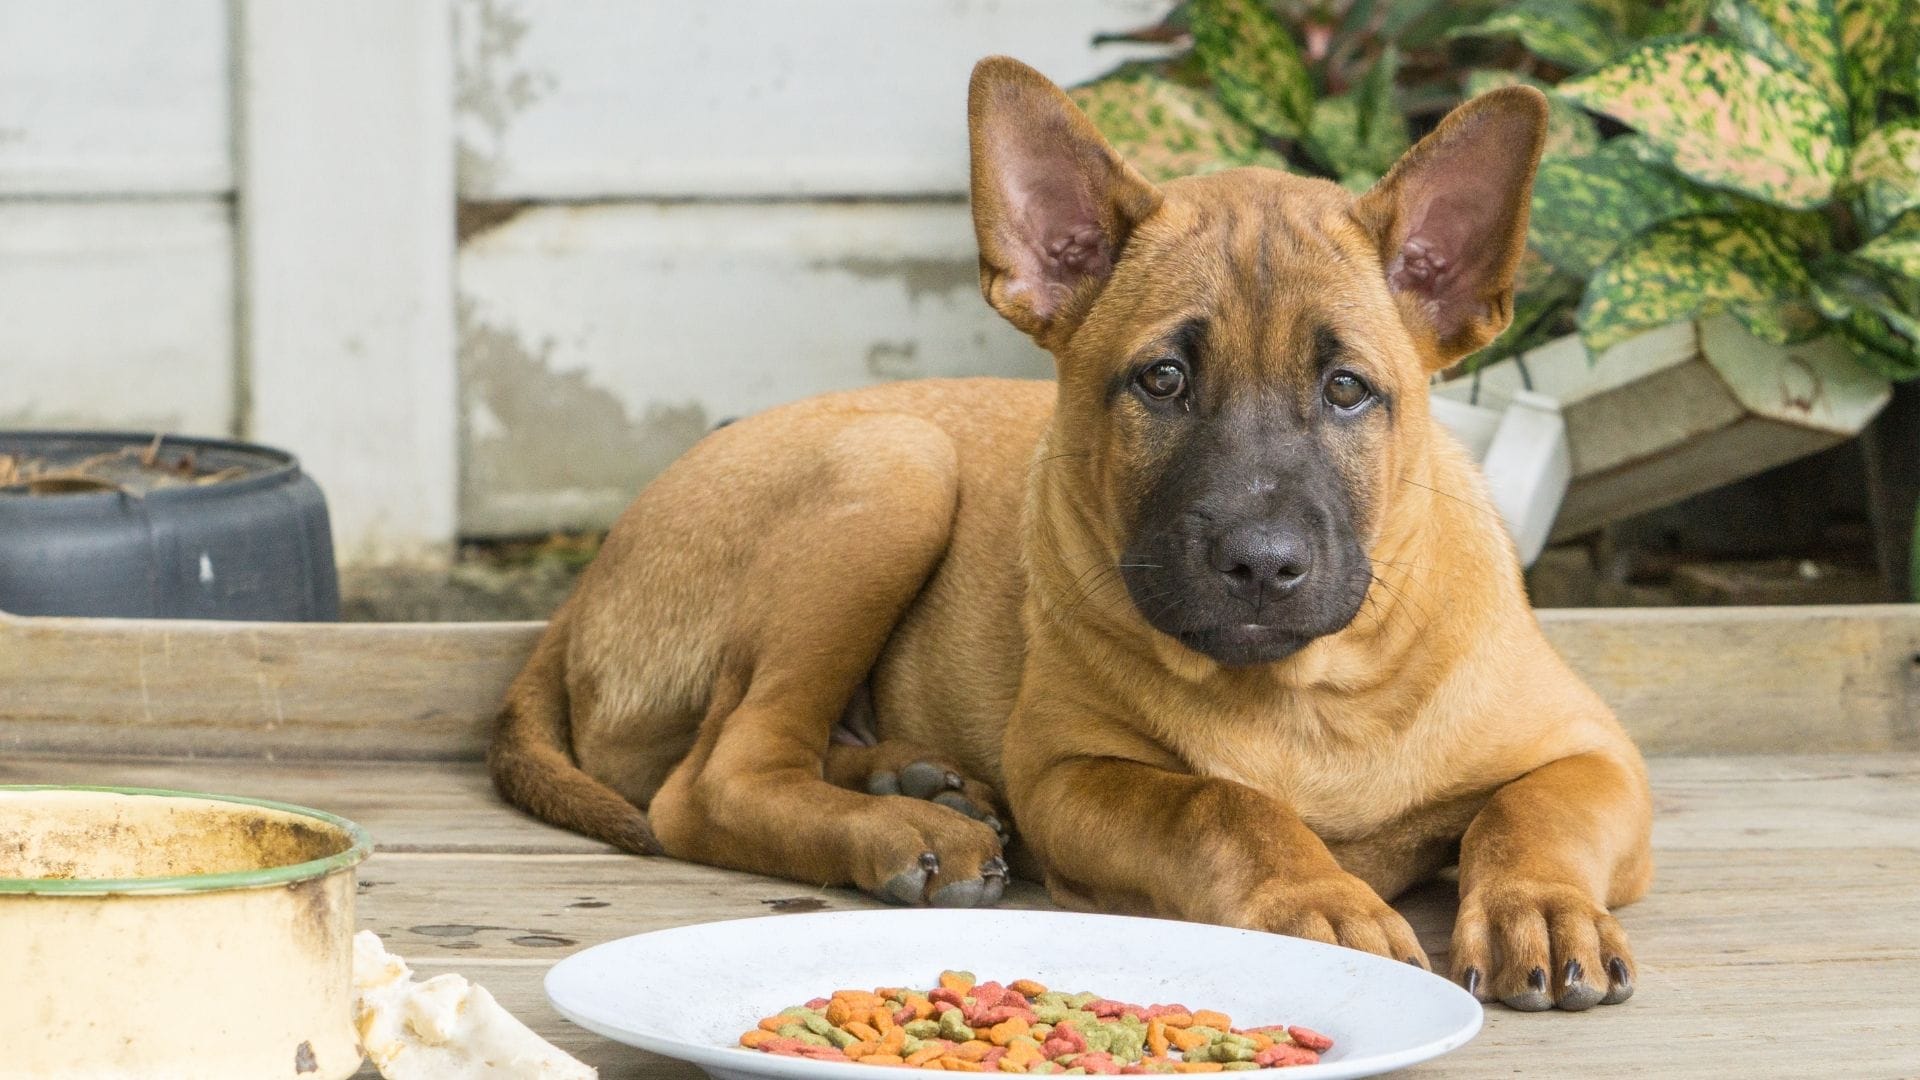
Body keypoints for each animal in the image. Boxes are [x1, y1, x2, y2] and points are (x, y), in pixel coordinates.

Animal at [491, 56, 1651, 1006]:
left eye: (1349, 390)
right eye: (1163, 380)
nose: (1262, 565)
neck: (1305, 697)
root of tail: (586, 591)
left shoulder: (1598, 757)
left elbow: (1531, 814)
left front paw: (1541, 909)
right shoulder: (1073, 777)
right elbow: (1220, 808)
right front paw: (1316, 901)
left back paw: (915, 777)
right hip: (895, 465)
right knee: (712, 779)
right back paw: (913, 830)